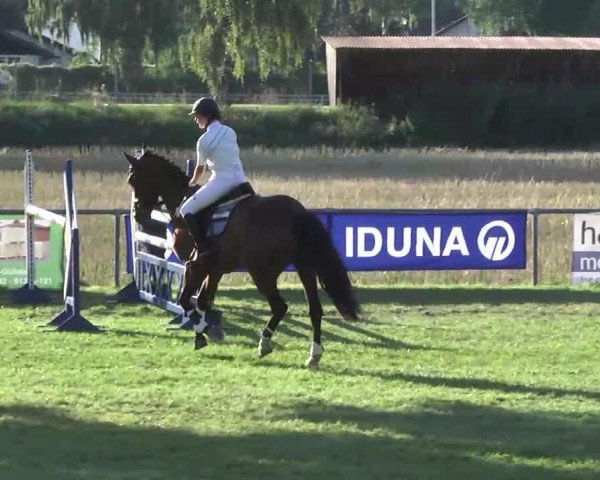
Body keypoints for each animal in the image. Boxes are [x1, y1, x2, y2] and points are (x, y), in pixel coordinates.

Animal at [120, 150, 356, 368]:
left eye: (132, 178)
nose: (138, 214)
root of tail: (298, 212)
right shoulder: (215, 269)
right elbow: (203, 301)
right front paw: (208, 331)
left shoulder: (194, 267)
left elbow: (186, 300)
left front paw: (204, 332)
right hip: (304, 268)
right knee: (315, 309)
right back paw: (314, 355)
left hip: (261, 272)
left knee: (280, 306)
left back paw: (264, 343)